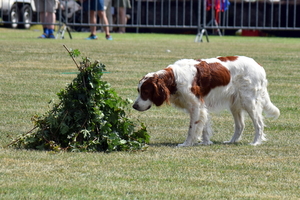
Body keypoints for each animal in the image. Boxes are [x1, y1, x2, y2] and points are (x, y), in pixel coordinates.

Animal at [132, 56, 280, 147]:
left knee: (259, 124)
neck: (174, 78)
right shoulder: (202, 106)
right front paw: (206, 142)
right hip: (235, 104)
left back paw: (256, 142)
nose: (134, 106)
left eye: (145, 92)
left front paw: (186, 144)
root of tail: (259, 66)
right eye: (138, 90)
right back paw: (231, 141)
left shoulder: (196, 106)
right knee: (240, 125)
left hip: (249, 102)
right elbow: (204, 127)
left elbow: (192, 129)